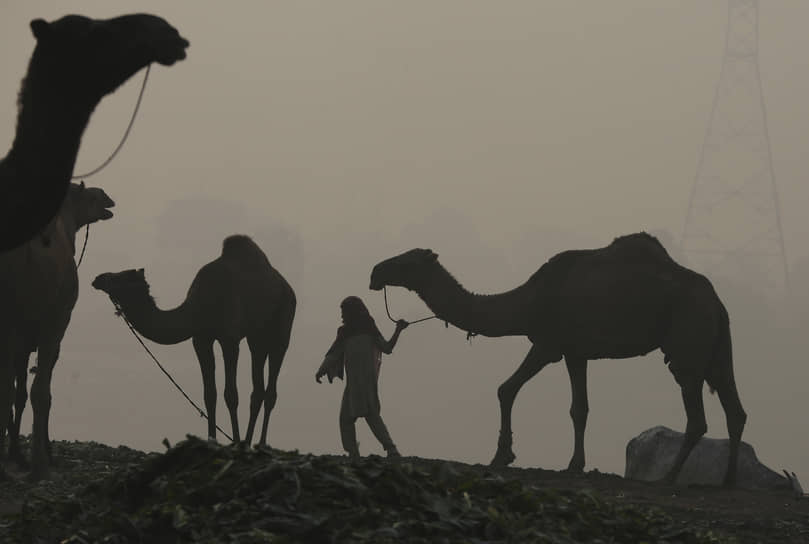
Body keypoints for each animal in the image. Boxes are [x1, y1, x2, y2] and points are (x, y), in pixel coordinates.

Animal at [0, 181, 115, 478]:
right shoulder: (55, 325)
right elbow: (40, 391)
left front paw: (16, 453)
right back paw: (39, 464)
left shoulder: (22, 343)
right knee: (37, 390)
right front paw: (42, 455)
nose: (109, 200)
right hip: (41, 322)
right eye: (93, 197)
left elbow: (19, 391)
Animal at [92, 234, 296, 446]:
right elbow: (209, 394)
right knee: (258, 388)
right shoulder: (201, 339)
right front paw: (212, 439)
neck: (199, 306)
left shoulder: (229, 339)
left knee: (271, 388)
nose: (98, 278)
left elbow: (231, 394)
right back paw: (248, 442)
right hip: (257, 336)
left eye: (121, 277)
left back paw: (260, 443)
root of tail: (286, 286)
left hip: (283, 322)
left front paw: (234, 441)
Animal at [370, 232, 748, 486]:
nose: (375, 272)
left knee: (697, 415)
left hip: (688, 337)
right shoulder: (575, 351)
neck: (527, 300)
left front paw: (502, 455)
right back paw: (729, 480)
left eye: (407, 260)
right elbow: (579, 408)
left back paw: (668, 478)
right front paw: (575, 464)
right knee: (734, 407)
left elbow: (505, 389)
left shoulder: (548, 344)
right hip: (716, 346)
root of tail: (717, 302)